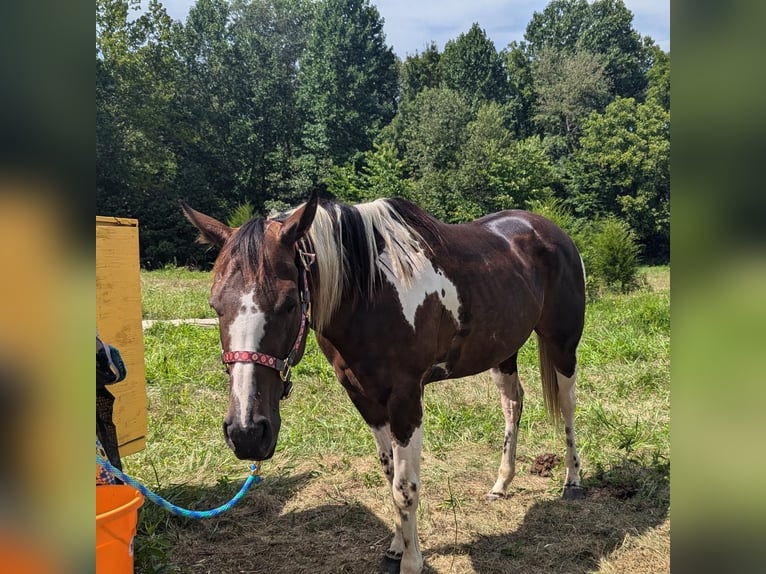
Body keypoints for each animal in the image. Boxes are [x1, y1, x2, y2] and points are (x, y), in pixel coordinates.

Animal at [182, 192, 586, 574]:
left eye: (288, 304)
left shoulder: (406, 399)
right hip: (503, 353)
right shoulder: (365, 398)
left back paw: (572, 482)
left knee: (568, 406)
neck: (370, 296)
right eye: (216, 306)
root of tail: (551, 231)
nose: (247, 433)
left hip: (562, 345)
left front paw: (411, 562)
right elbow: (390, 474)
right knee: (513, 404)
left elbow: (405, 487)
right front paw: (395, 548)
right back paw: (501, 485)